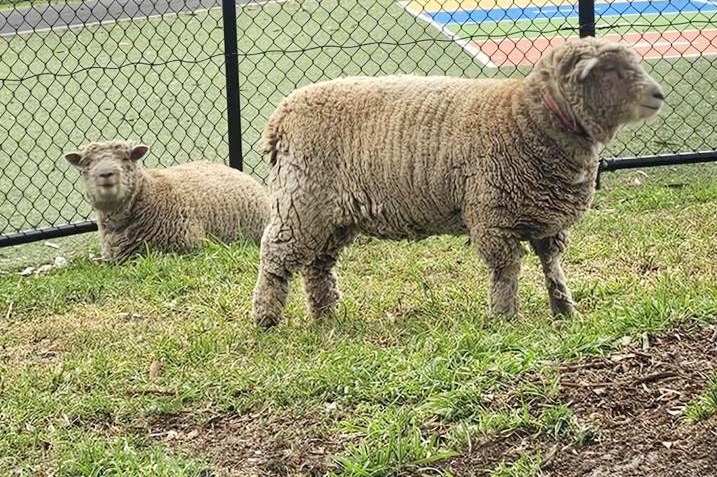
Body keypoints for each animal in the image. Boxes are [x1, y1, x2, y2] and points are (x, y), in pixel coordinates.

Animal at [251, 37, 665, 327]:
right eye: (610, 70)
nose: (659, 95)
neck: (525, 119)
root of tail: (280, 117)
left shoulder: (547, 220)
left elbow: (552, 266)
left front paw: (564, 311)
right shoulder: (493, 216)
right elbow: (506, 270)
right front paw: (505, 318)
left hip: (333, 215)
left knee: (317, 265)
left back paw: (326, 315)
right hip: (300, 201)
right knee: (275, 257)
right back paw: (266, 319)